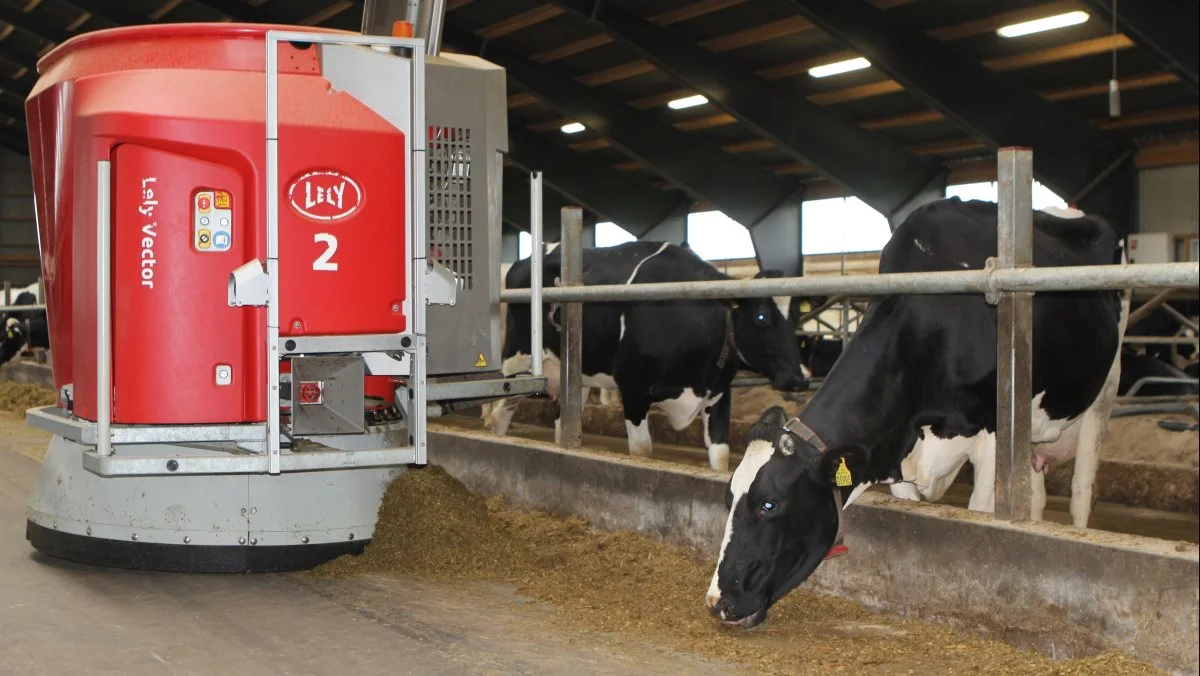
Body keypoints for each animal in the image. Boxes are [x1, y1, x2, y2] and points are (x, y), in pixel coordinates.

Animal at [482, 242, 811, 470]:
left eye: (796, 316)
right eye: (761, 316)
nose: (800, 379)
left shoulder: (718, 394)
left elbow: (721, 456)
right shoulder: (634, 390)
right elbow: (642, 451)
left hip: (576, 375)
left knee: (562, 423)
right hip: (517, 361)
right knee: (499, 414)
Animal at [700, 196, 1123, 629]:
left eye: (769, 504)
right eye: (729, 496)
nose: (718, 602)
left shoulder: (992, 438)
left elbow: (982, 511)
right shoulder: (896, 447)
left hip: (1103, 394)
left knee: (1080, 491)